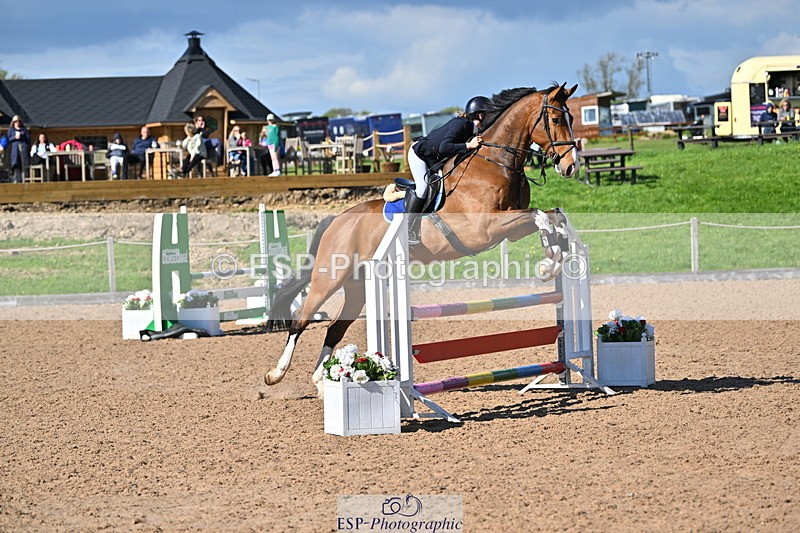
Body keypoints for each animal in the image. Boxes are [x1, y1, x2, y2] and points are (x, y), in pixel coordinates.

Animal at [264, 83, 580, 393]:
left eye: (572, 118)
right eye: (555, 119)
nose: (571, 166)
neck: (495, 161)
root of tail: (336, 220)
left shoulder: (510, 228)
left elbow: (549, 217)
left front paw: (555, 258)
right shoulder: (484, 228)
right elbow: (539, 216)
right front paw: (549, 264)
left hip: (357, 286)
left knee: (335, 328)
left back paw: (323, 379)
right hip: (329, 277)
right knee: (301, 318)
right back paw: (275, 374)